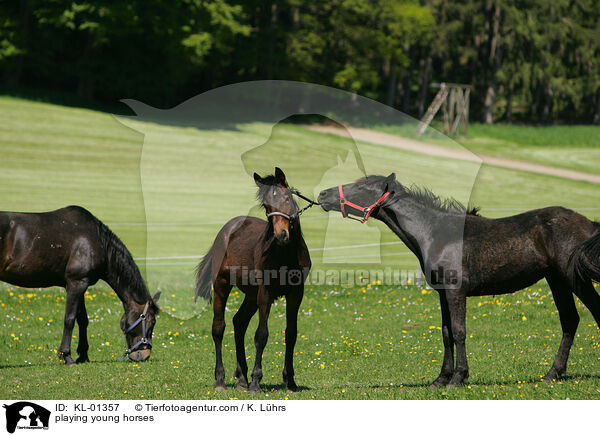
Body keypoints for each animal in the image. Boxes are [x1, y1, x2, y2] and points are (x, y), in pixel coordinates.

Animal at [0, 206, 161, 366]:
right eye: (151, 321)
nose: (144, 355)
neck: (97, 240)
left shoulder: (81, 286)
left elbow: (83, 320)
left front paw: (83, 355)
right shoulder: (76, 283)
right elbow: (70, 319)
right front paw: (66, 356)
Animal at [196, 169, 312, 394]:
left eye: (286, 198)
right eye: (267, 206)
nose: (281, 235)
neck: (285, 253)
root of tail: (226, 231)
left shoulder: (296, 293)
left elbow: (291, 334)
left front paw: (290, 382)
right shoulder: (265, 293)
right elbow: (261, 334)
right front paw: (256, 381)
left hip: (250, 295)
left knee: (239, 322)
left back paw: (242, 378)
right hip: (223, 285)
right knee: (219, 327)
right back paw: (221, 379)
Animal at [322, 174, 600, 384]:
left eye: (361, 186)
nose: (323, 195)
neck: (435, 232)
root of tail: (589, 223)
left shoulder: (456, 291)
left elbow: (459, 332)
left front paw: (458, 377)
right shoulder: (442, 293)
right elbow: (446, 333)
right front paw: (441, 379)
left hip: (574, 279)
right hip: (557, 281)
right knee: (569, 320)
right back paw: (552, 373)